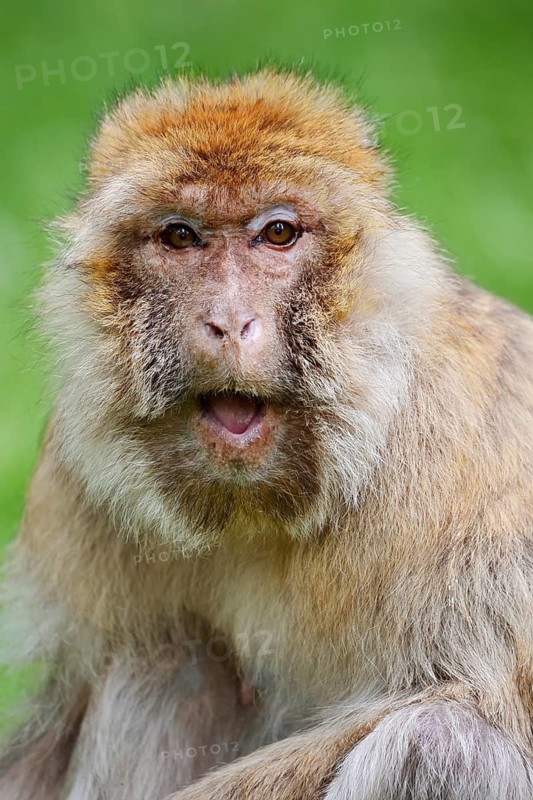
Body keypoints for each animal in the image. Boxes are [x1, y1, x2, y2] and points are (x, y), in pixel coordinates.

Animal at [0, 66, 533, 800]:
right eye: (180, 237)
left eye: (277, 233)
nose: (230, 322)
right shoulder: (76, 488)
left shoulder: (464, 482)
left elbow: (472, 703)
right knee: (167, 661)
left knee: (440, 744)